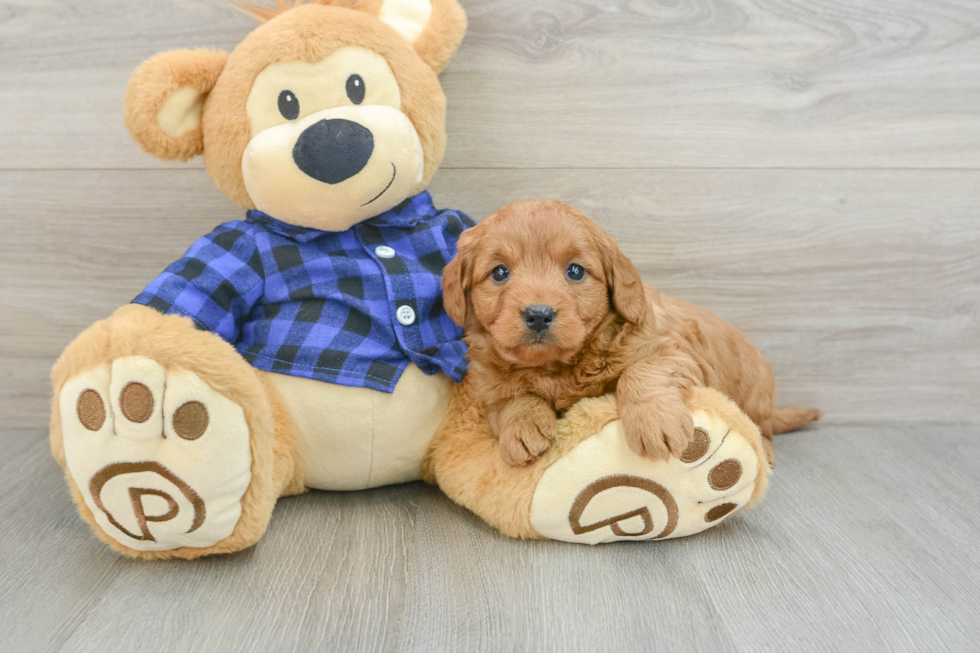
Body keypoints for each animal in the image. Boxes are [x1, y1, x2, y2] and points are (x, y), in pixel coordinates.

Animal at [440, 197, 816, 464]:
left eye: (575, 271)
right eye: (500, 272)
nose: (538, 315)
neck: (560, 366)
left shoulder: (679, 354)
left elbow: (641, 372)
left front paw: (654, 422)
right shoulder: (490, 388)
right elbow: (512, 399)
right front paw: (521, 427)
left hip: (755, 398)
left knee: (761, 429)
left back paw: (764, 451)